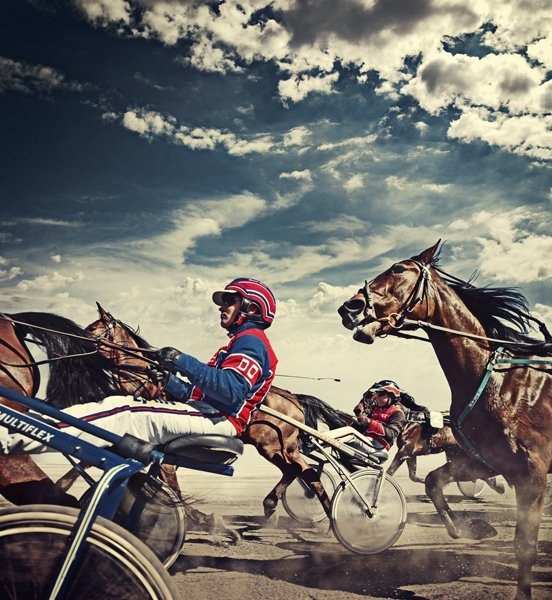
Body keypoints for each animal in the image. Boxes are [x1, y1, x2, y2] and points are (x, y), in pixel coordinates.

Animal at [338, 241, 551, 600]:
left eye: (398, 269)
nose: (349, 307)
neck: (501, 384)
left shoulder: (531, 474)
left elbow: (524, 546)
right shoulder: (483, 461)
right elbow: (432, 481)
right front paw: (468, 528)